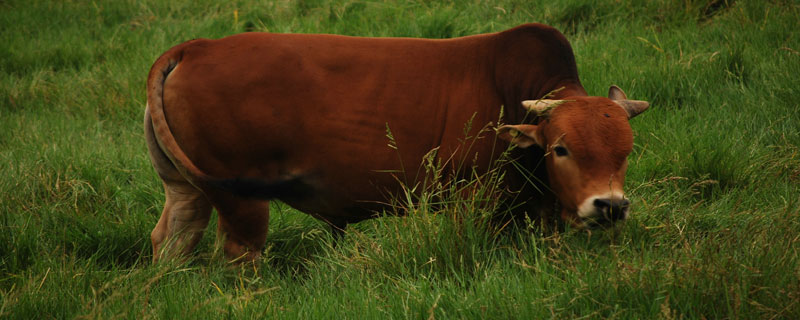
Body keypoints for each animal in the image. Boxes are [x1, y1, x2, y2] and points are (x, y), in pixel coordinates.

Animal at [144, 23, 648, 262]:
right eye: (560, 148)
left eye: (625, 152)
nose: (609, 206)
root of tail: (198, 46)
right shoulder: (471, 200)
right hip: (242, 201)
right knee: (239, 253)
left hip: (186, 188)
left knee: (172, 237)